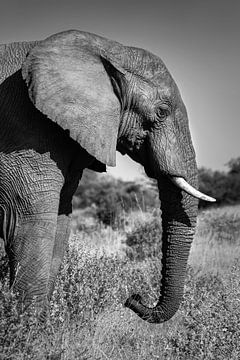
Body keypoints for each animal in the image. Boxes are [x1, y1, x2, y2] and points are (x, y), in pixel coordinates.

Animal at [0, 31, 214, 324]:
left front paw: (41, 328)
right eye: (161, 112)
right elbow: (29, 222)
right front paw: (26, 330)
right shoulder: (23, 130)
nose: (132, 297)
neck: (105, 48)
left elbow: (61, 223)